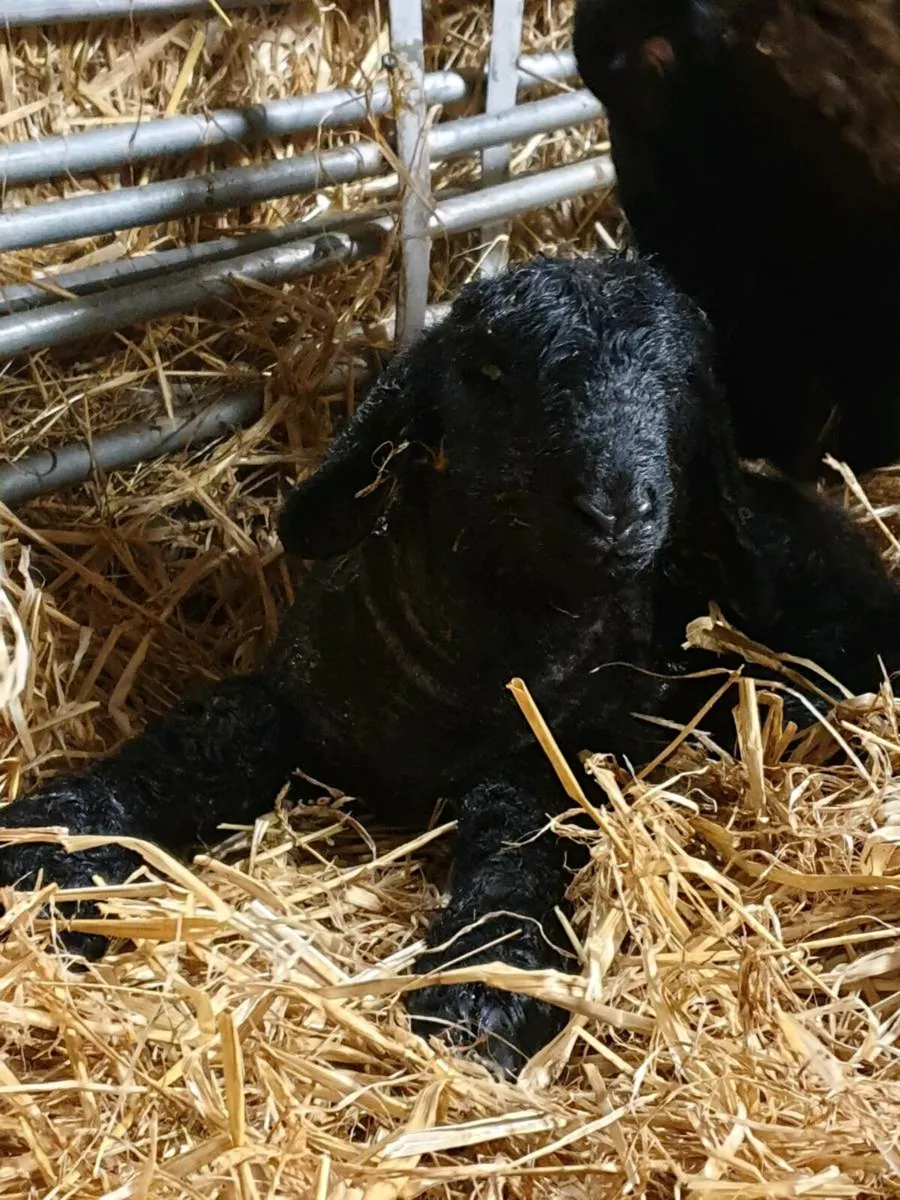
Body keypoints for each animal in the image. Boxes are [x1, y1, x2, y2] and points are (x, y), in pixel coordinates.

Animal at [2, 252, 900, 1078]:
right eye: (489, 375)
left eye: (680, 382)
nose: (615, 509)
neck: (473, 667)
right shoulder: (294, 699)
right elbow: (207, 734)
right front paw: (51, 841)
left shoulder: (565, 749)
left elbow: (517, 828)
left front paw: (482, 988)